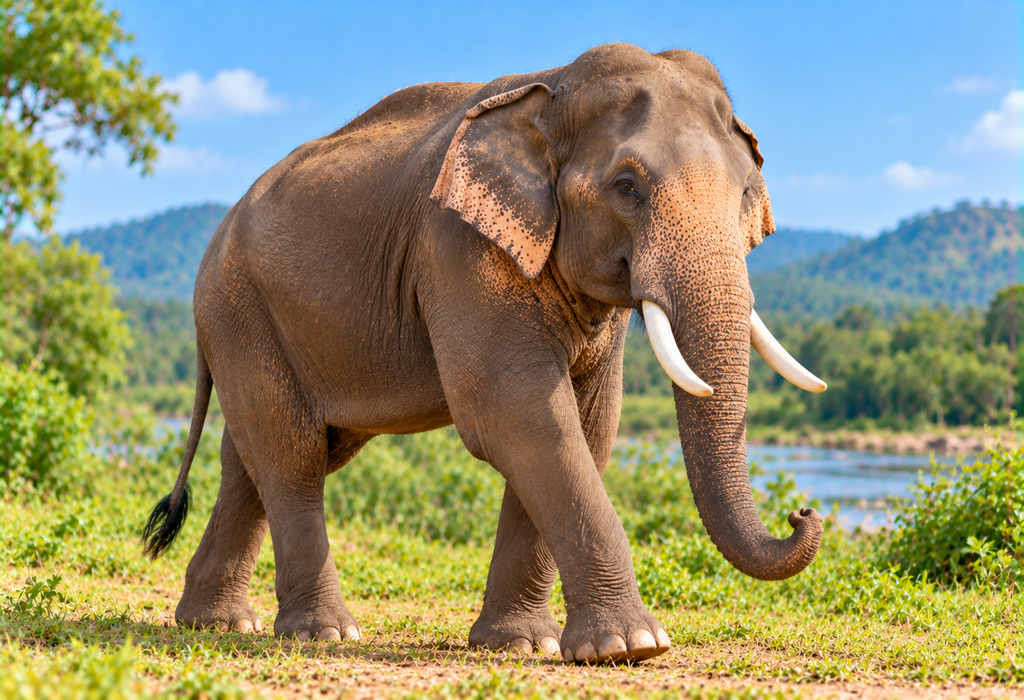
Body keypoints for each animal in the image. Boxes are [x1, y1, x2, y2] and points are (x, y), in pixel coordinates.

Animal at [143, 43, 826, 664]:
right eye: (626, 187)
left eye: (747, 193)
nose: (803, 511)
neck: (553, 88)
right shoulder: (456, 246)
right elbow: (518, 414)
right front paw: (631, 648)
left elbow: (585, 424)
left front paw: (522, 645)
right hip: (237, 305)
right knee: (292, 450)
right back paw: (323, 634)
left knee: (258, 453)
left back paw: (216, 623)